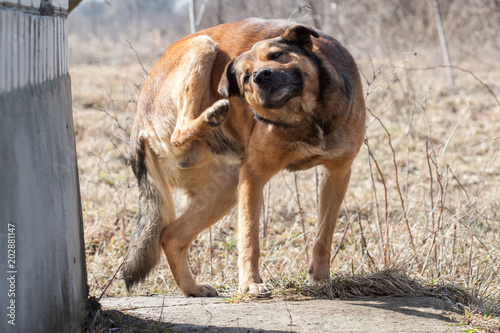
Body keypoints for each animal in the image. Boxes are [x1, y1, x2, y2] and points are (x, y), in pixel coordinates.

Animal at [123, 18, 366, 296]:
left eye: (277, 55)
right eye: (246, 77)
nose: (261, 76)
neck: (304, 115)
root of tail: (139, 125)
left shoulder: (338, 173)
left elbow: (324, 232)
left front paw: (321, 279)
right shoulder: (253, 175)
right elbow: (250, 236)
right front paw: (251, 284)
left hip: (225, 190)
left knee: (171, 237)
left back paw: (192, 288)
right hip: (201, 47)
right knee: (178, 132)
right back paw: (211, 115)